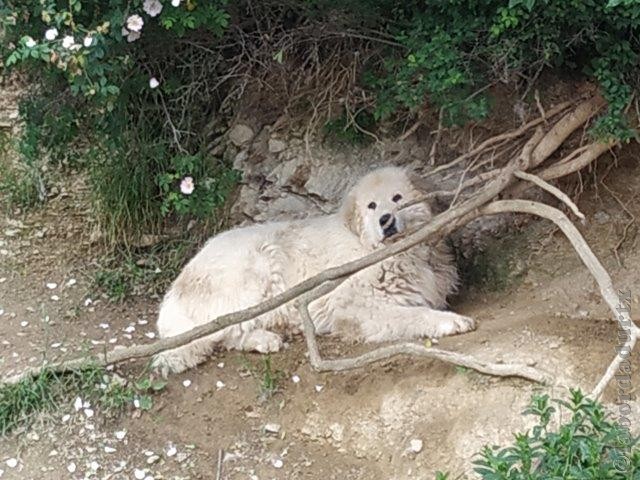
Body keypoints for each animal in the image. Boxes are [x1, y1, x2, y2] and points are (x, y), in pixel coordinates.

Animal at [154, 166, 476, 376]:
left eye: (397, 198)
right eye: (371, 206)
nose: (385, 220)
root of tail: (179, 282)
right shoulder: (357, 309)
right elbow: (413, 314)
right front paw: (450, 321)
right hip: (257, 270)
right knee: (226, 329)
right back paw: (265, 339)